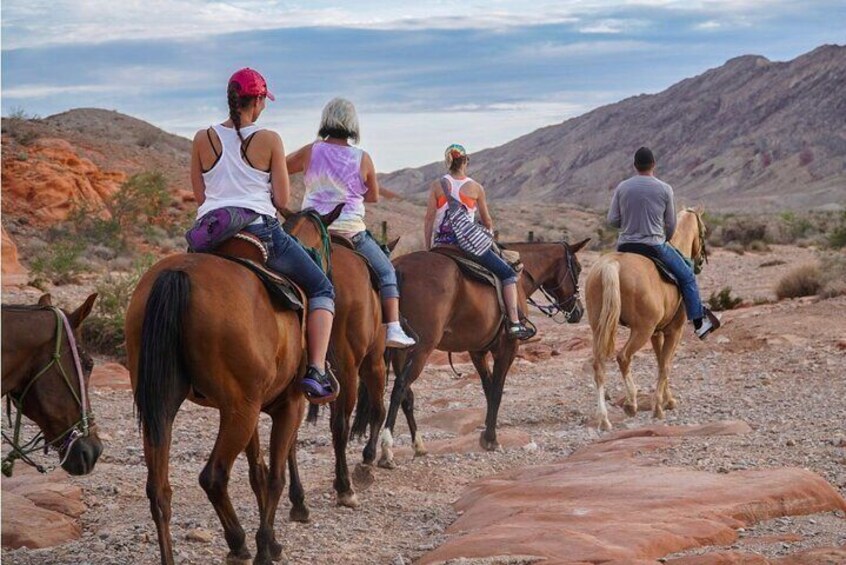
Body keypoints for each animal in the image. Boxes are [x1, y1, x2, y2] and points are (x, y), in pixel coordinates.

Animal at [122, 206, 342, 564]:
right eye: (331, 249)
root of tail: (179, 274)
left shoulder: (251, 408)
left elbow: (258, 473)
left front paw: (271, 542)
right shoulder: (289, 406)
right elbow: (275, 475)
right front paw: (267, 545)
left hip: (166, 407)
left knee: (159, 490)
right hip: (239, 412)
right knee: (213, 476)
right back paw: (239, 543)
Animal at [376, 239, 588, 468]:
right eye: (578, 268)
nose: (579, 311)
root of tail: (398, 268)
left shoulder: (477, 351)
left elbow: (488, 389)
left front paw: (488, 432)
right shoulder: (507, 349)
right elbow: (496, 391)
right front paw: (491, 439)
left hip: (402, 349)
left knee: (407, 394)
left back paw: (418, 446)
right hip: (421, 347)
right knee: (400, 387)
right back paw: (386, 450)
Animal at [584, 209, 708, 430]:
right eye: (704, 231)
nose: (700, 261)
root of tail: (612, 264)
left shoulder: (656, 334)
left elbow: (660, 362)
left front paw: (667, 400)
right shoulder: (674, 331)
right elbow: (665, 364)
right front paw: (659, 407)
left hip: (599, 328)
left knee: (599, 365)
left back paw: (604, 419)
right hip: (641, 330)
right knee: (624, 357)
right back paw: (631, 404)